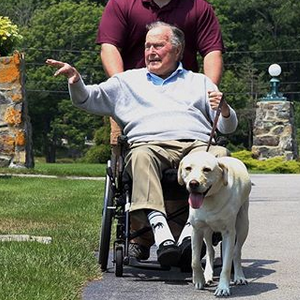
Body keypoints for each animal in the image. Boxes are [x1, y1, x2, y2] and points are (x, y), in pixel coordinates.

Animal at [178, 151, 251, 296]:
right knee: (210, 250)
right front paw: (199, 280)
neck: (209, 199)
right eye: (188, 168)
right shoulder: (196, 230)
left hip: (243, 225)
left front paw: (223, 288)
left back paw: (239, 276)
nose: (193, 183)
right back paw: (208, 275)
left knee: (236, 252)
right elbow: (194, 260)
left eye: (207, 169)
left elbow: (226, 265)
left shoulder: (229, 233)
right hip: (207, 231)